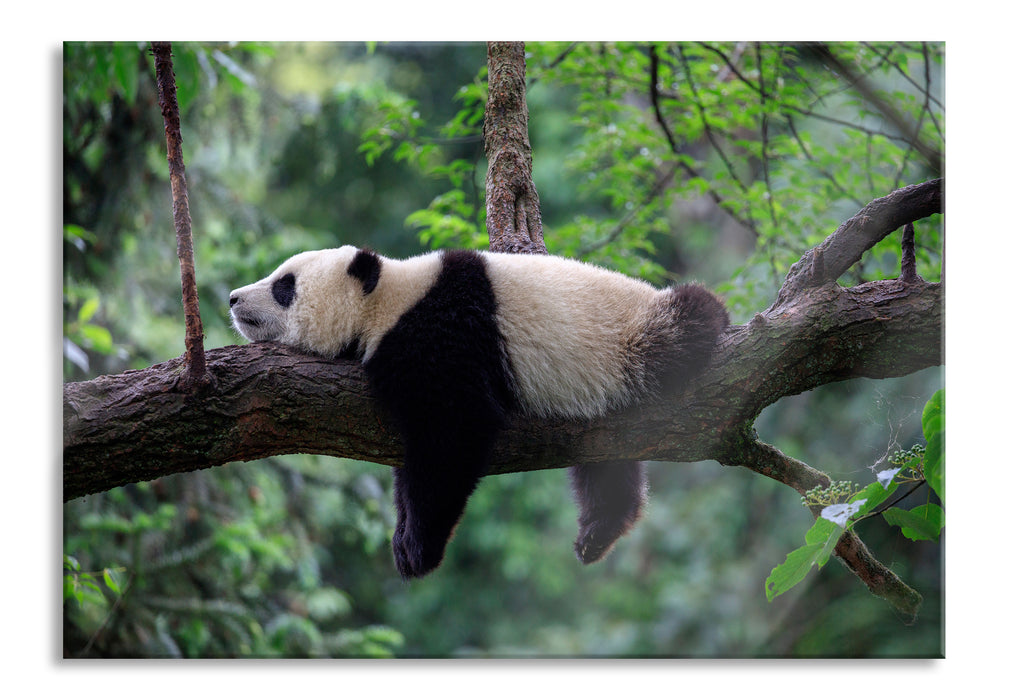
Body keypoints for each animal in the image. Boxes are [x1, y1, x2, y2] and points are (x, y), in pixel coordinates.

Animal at [231, 247, 726, 580]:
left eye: (284, 285)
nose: (234, 298)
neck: (388, 300)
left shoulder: (444, 335)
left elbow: (454, 434)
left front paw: (418, 549)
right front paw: (402, 535)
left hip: (631, 338)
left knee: (687, 324)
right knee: (606, 463)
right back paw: (598, 532)